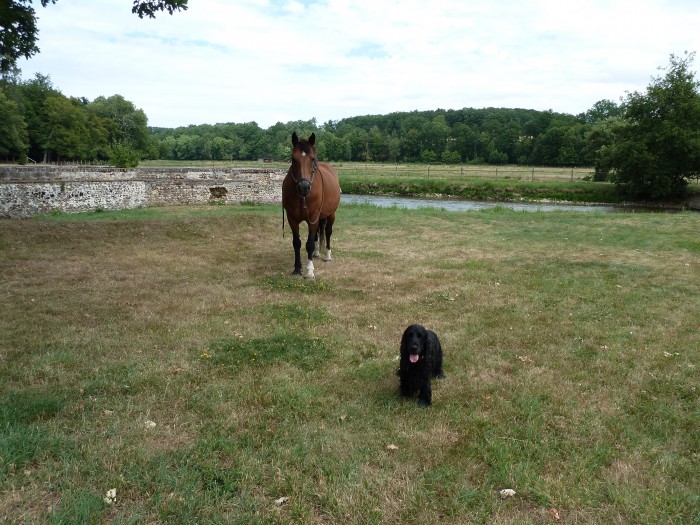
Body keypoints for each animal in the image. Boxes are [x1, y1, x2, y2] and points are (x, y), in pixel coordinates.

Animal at [282, 132, 342, 278]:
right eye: (293, 158)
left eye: (312, 158)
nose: (304, 187)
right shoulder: (292, 219)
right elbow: (297, 243)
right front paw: (297, 268)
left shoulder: (313, 218)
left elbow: (309, 244)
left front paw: (309, 271)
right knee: (317, 235)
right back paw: (316, 253)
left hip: (331, 214)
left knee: (328, 232)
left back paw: (327, 256)